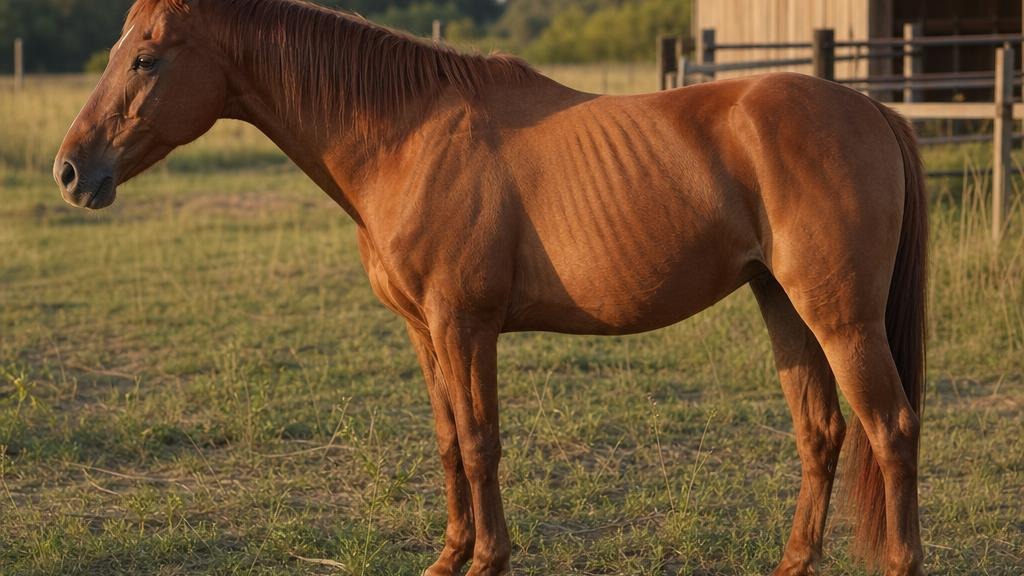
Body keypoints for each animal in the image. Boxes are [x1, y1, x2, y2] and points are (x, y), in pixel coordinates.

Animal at [54, 1, 927, 574]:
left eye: (145, 58)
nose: (70, 170)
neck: (408, 136)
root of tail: (872, 109)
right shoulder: (423, 331)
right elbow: (447, 442)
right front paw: (450, 556)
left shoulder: (463, 324)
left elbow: (480, 443)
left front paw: (487, 561)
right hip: (785, 307)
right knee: (821, 432)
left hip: (842, 319)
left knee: (889, 427)